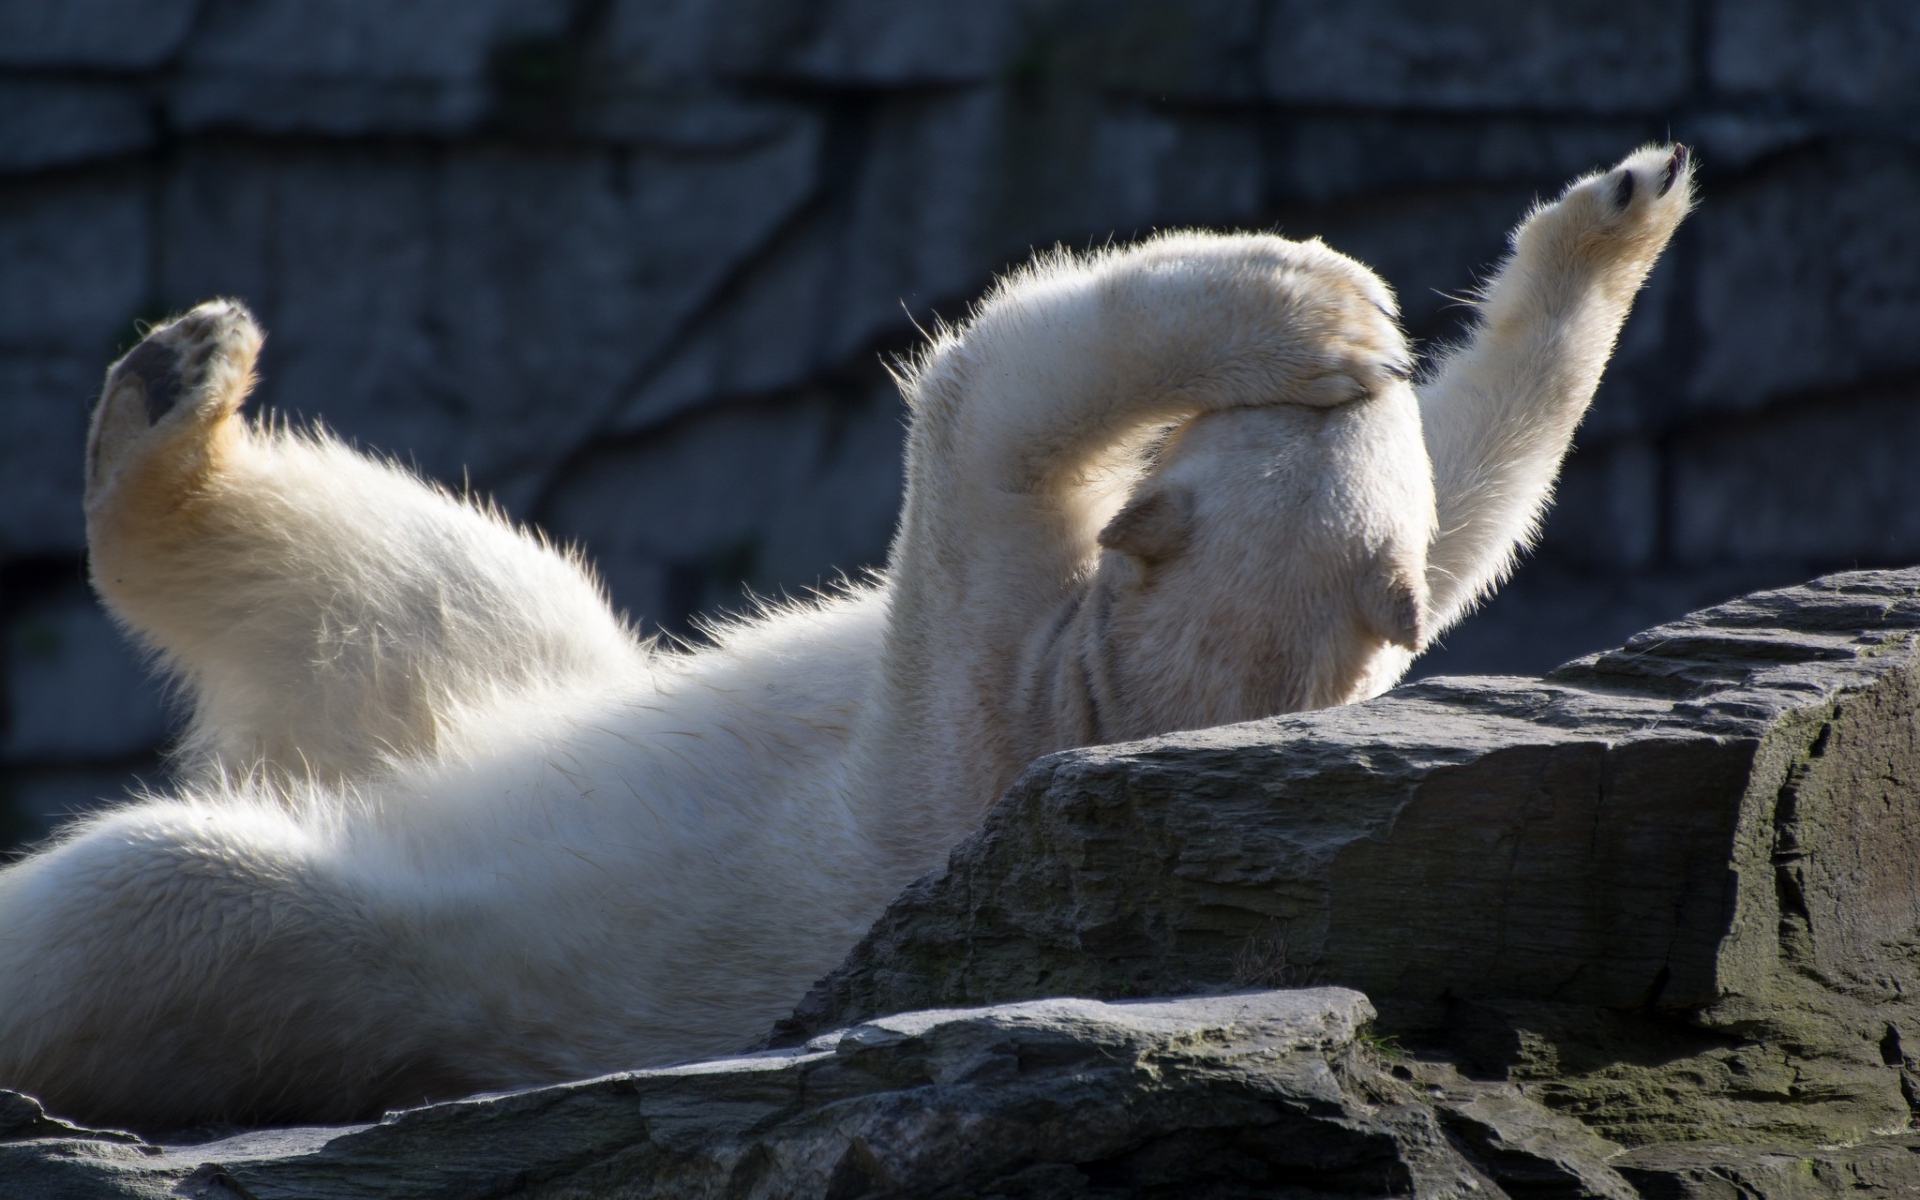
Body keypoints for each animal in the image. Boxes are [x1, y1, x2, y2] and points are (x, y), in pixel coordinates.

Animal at [0, 145, 1693, 1131]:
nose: (1364, 367)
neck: (1114, 706)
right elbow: (1468, 520)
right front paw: (1608, 219)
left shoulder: (987, 703)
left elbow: (980, 413)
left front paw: (1308, 301)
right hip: (484, 685)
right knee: (449, 583)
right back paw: (178, 380)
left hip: (353, 954)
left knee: (159, 890)